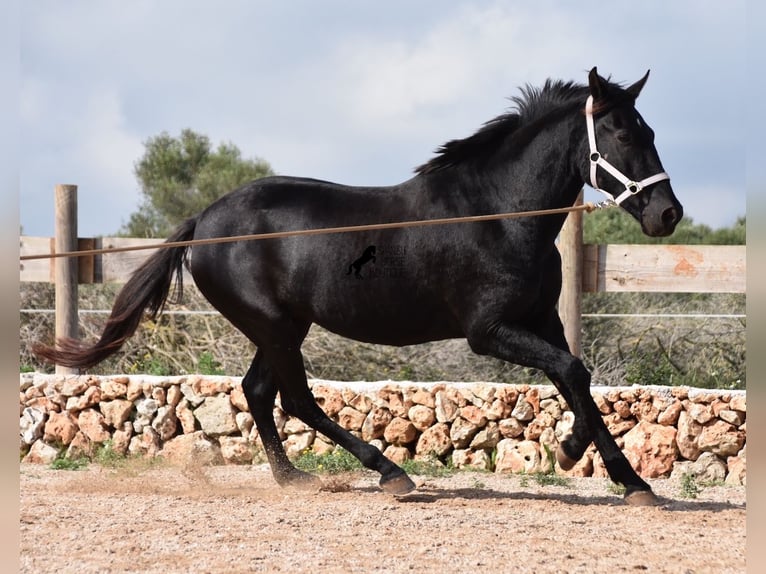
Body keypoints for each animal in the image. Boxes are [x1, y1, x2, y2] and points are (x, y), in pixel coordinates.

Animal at [36, 70, 684, 506]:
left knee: (258, 391)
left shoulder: (540, 319)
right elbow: (572, 371)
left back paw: (294, 477)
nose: (667, 214)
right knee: (294, 398)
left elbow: (576, 376)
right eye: (621, 134)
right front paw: (598, 464)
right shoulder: (489, 331)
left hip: (283, 326)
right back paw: (390, 473)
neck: (499, 213)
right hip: (275, 326)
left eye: (651, 129)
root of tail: (205, 220)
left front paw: (613, 470)